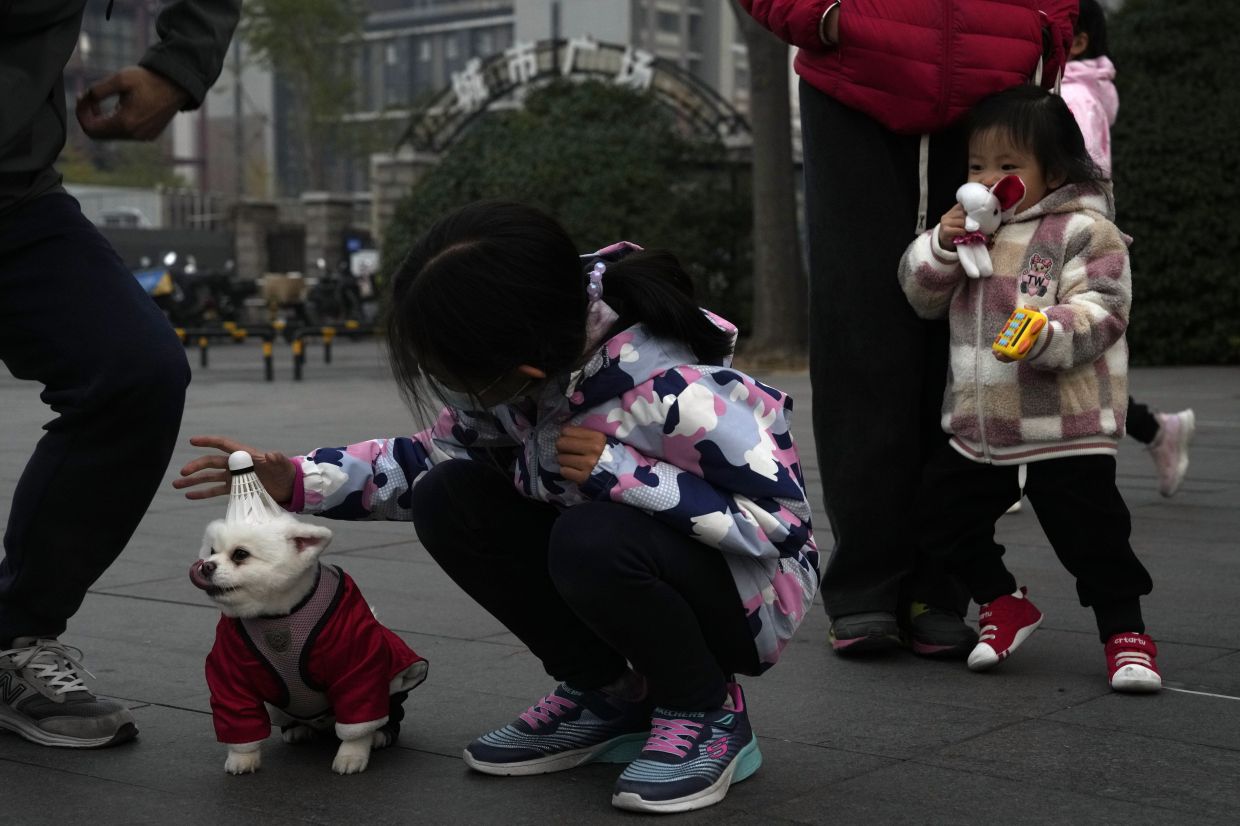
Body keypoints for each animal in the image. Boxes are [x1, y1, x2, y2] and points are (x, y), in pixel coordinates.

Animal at [190, 515, 429, 773]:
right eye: (212, 551)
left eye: (240, 554)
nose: (205, 565)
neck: (277, 616)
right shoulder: (230, 670)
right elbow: (238, 717)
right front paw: (242, 758)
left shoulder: (357, 666)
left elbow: (358, 715)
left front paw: (351, 755)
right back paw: (298, 729)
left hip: (395, 684)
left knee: (388, 714)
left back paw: (379, 735)